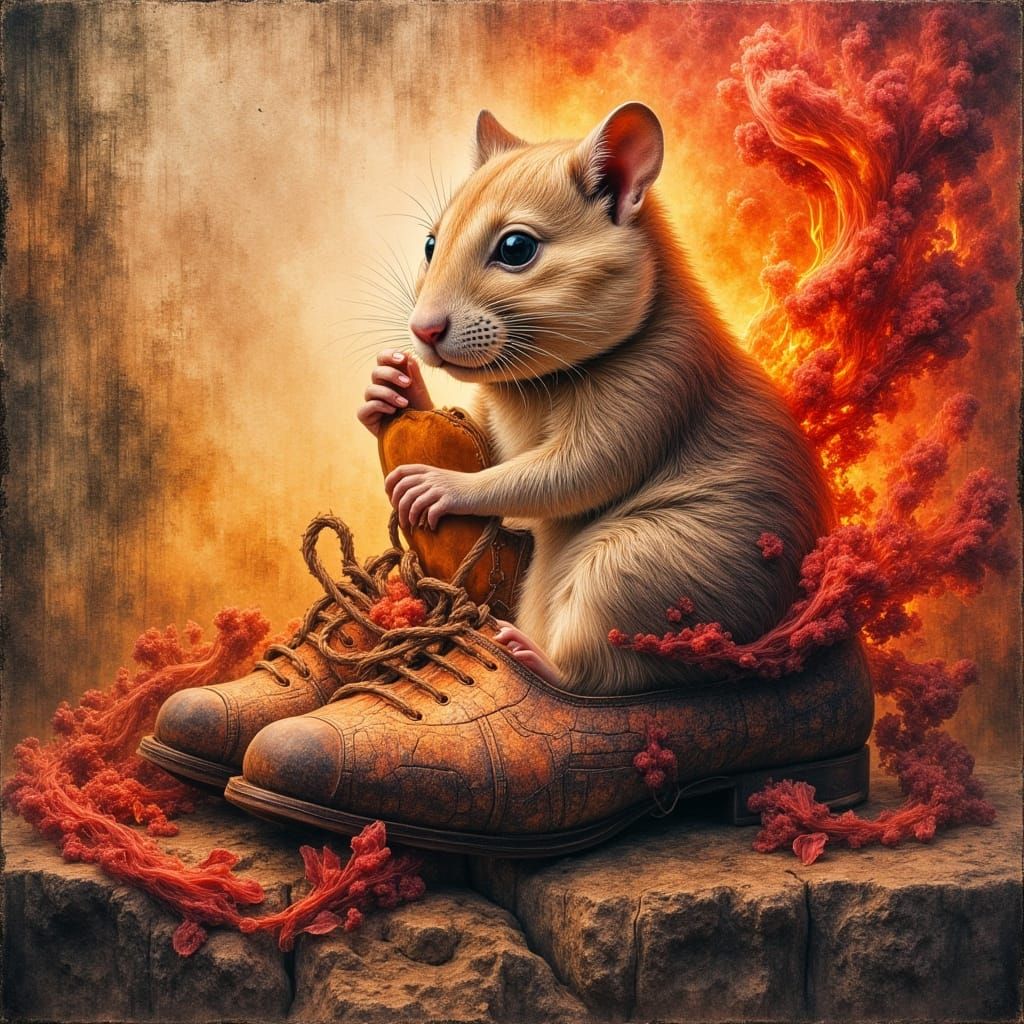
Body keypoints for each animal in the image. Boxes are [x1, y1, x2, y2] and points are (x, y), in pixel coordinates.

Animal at [359, 103, 833, 696]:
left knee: (606, 671)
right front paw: (392, 386)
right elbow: (490, 442)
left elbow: (571, 471)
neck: (534, 382)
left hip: (643, 568)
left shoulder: (656, 381)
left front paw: (444, 485)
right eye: (429, 243)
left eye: (516, 249)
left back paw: (532, 657)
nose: (422, 331)